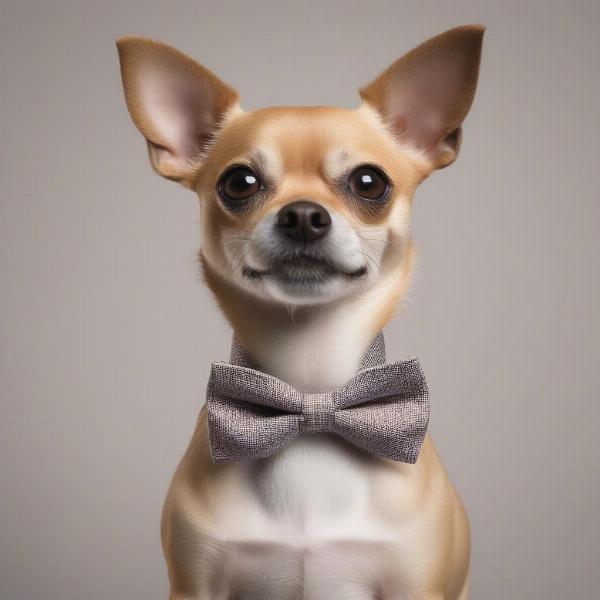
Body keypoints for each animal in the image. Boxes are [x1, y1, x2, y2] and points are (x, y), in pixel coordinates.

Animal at [116, 24, 482, 600]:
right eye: (238, 182)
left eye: (369, 182)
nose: (304, 215)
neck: (311, 389)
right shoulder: (194, 585)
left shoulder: (418, 586)